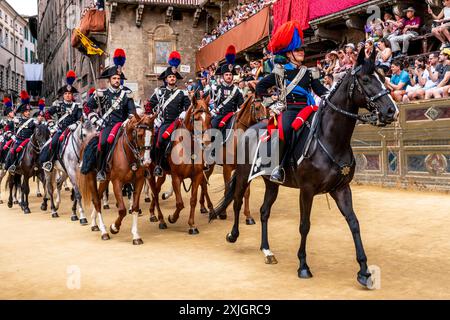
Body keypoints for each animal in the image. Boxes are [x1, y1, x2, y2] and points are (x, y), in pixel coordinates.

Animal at [77, 114, 155, 244]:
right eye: (139, 135)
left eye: (153, 135)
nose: (147, 161)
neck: (129, 153)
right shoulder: (117, 182)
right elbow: (122, 210)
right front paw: (114, 227)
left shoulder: (139, 181)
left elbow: (134, 207)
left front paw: (136, 235)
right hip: (91, 177)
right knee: (97, 201)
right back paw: (104, 231)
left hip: (105, 180)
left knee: (98, 197)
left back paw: (94, 223)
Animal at [148, 96, 211, 234]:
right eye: (196, 118)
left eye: (209, 117)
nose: (207, 142)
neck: (188, 148)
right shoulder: (176, 177)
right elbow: (180, 203)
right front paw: (172, 218)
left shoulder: (197, 176)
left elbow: (193, 200)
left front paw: (192, 225)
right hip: (150, 173)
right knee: (154, 193)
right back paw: (161, 220)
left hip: (162, 175)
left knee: (157, 190)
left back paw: (152, 213)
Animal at [200, 95, 268, 224]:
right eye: (257, 108)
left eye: (266, 108)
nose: (265, 125)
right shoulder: (227, 168)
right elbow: (227, 190)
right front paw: (223, 213)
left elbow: (247, 192)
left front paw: (248, 216)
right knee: (203, 183)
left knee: (203, 182)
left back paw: (203, 207)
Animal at [210, 49, 398, 288]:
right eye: (365, 80)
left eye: (382, 77)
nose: (391, 110)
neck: (330, 139)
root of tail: (250, 129)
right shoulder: (307, 190)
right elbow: (304, 225)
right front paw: (303, 266)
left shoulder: (342, 189)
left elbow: (354, 223)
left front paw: (364, 271)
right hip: (243, 175)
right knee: (236, 202)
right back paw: (233, 235)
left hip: (271, 183)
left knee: (264, 211)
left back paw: (267, 250)